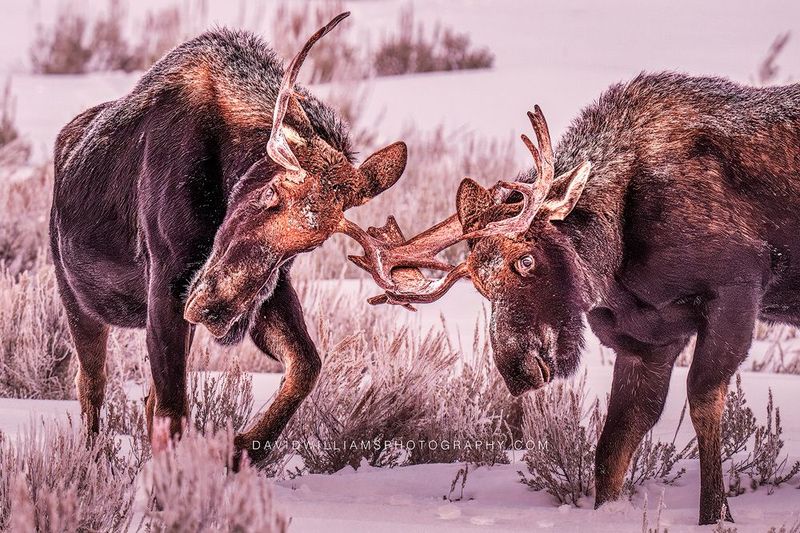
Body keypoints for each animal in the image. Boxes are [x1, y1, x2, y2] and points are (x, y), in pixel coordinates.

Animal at [50, 13, 409, 463]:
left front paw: (240, 449)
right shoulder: (167, 283)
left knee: (141, 397)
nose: (213, 310)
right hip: (77, 300)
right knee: (91, 385)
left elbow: (306, 365)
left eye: (311, 244)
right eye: (270, 193)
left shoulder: (268, 288)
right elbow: (173, 409)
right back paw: (91, 460)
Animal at [346, 73, 800, 524]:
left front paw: (715, 515)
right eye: (479, 285)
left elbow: (703, 404)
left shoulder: (736, 291)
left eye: (526, 260)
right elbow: (613, 448)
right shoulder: (646, 342)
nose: (518, 370)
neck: (618, 256)